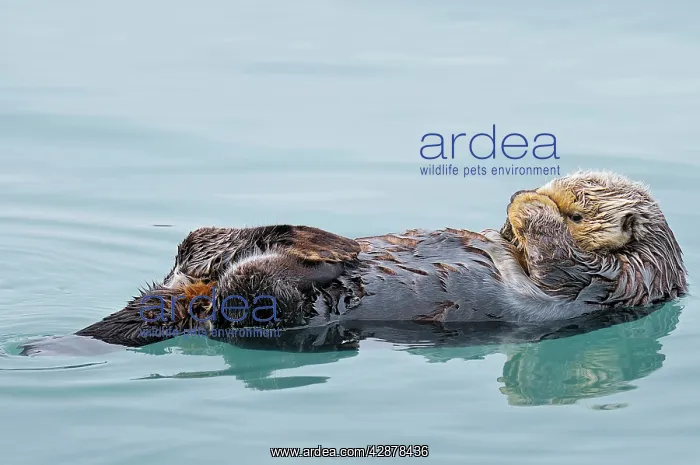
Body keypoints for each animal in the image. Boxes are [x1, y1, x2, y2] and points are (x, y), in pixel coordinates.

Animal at [70, 171, 687, 351]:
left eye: (580, 211)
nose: (537, 189)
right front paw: (516, 204)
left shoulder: (604, 283)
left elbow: (558, 263)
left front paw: (527, 208)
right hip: (203, 262)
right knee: (201, 241)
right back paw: (327, 241)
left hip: (268, 308)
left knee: (243, 292)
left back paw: (327, 257)